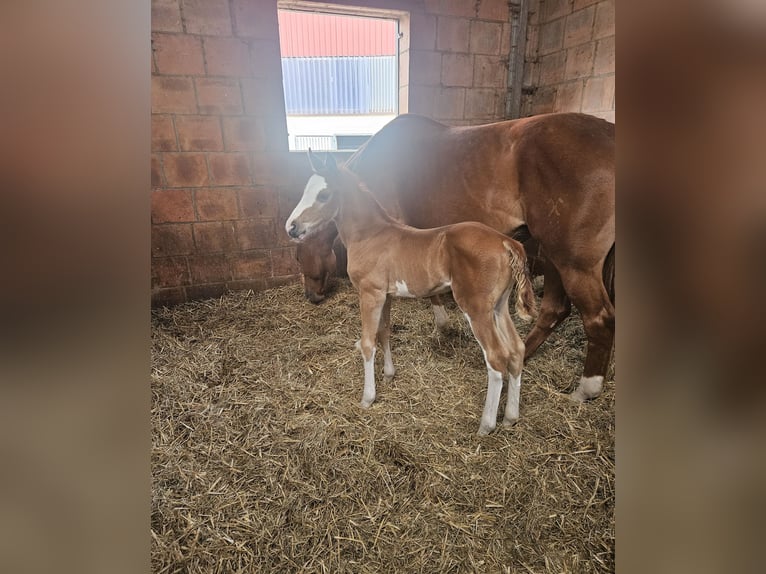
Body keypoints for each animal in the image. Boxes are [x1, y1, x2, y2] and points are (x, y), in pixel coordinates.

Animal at [286, 151, 538, 436]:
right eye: (306, 190)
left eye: (324, 195)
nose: (291, 227)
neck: (370, 235)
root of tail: (507, 242)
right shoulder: (385, 295)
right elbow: (384, 333)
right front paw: (389, 374)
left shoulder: (369, 293)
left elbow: (367, 343)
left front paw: (367, 398)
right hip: (499, 306)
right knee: (516, 350)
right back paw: (510, 417)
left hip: (476, 308)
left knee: (496, 358)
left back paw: (486, 425)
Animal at [293, 113, 615, 402]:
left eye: (298, 256)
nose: (311, 296)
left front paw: (441, 322)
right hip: (555, 256)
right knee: (554, 310)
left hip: (572, 261)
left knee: (598, 319)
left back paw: (585, 389)